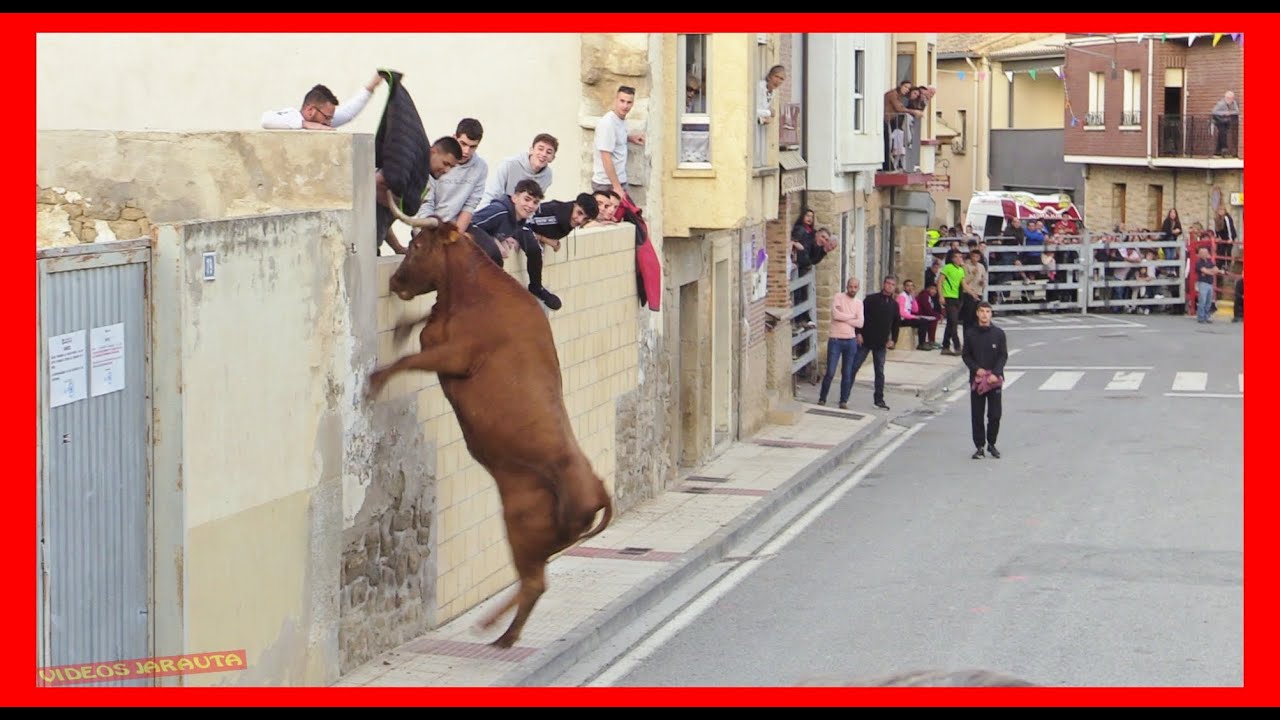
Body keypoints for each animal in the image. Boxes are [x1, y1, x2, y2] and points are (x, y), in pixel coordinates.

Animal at [366, 192, 615, 649]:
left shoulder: (454, 357)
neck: (472, 294)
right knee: (533, 580)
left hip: (520, 522)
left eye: (417, 245)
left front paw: (373, 382)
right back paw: (494, 628)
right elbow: (415, 331)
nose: (395, 283)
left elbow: (408, 359)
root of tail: (599, 487)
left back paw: (501, 636)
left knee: (533, 582)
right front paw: (400, 328)